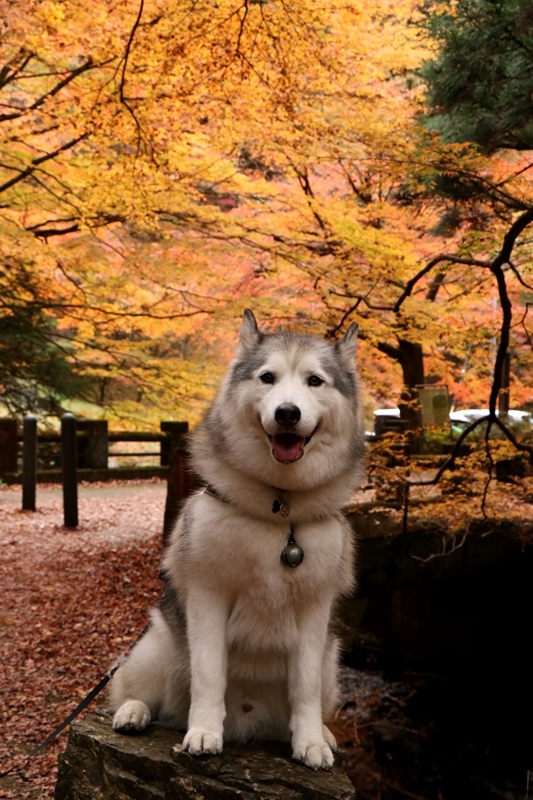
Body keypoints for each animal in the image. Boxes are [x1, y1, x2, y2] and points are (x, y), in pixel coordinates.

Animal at [109, 308, 364, 768]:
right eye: (268, 377)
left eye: (314, 381)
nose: (286, 412)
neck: (280, 509)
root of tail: (250, 720)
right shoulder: (209, 594)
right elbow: (209, 674)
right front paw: (205, 733)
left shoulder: (314, 610)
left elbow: (304, 686)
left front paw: (311, 741)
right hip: (156, 644)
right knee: (142, 696)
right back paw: (134, 711)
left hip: (331, 658)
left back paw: (321, 734)